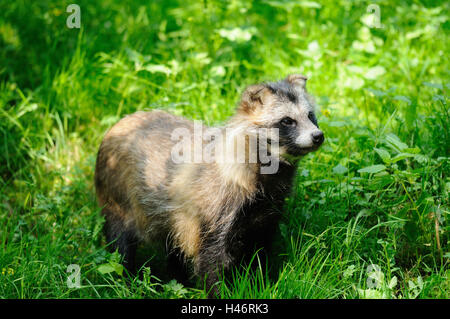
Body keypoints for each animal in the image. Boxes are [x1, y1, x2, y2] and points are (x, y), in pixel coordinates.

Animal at [96, 75, 324, 298]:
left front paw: (261, 283)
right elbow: (210, 258)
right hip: (117, 193)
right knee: (120, 245)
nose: (318, 136)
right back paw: (125, 280)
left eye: (310, 115)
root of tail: (120, 123)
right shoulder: (214, 208)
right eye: (287, 120)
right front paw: (219, 293)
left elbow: (259, 250)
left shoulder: (266, 209)